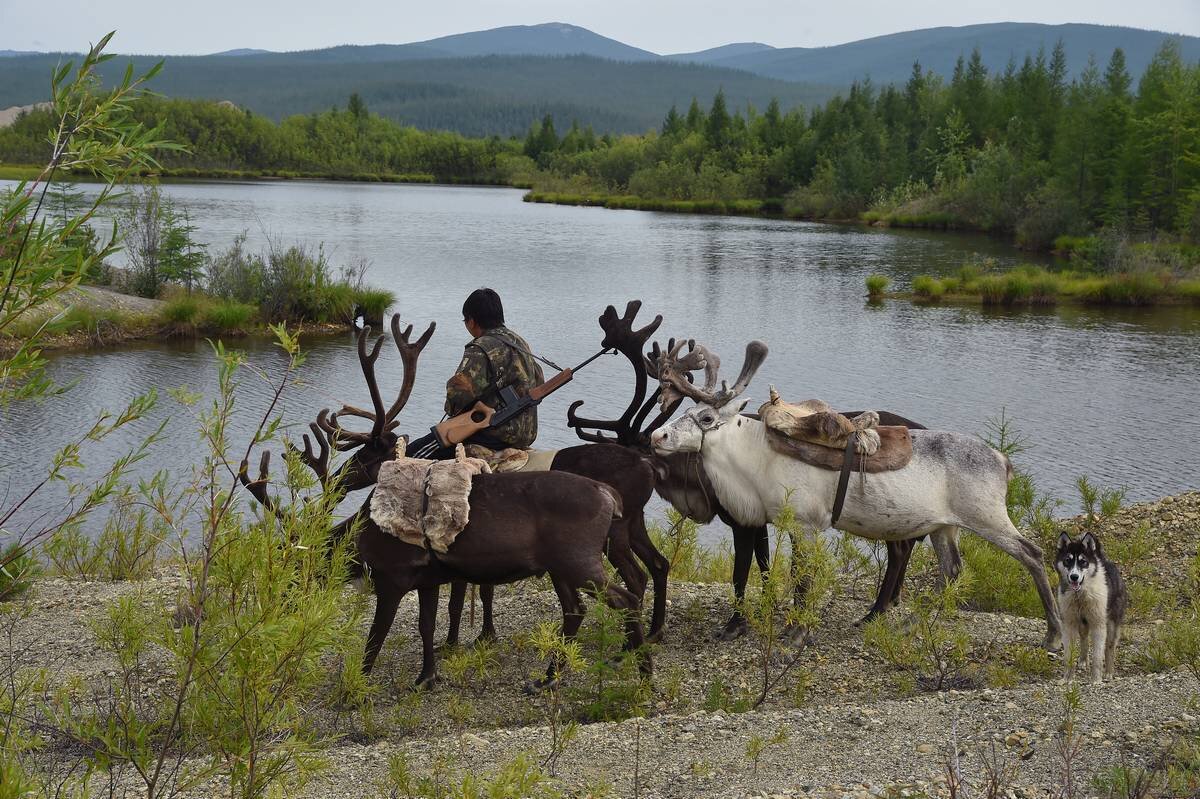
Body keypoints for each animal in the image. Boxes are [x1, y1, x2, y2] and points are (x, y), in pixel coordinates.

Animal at [1056, 532, 1128, 681]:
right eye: (1067, 560)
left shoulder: (1098, 625)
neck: (1080, 596)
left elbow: (1097, 656)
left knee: (1110, 647)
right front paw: (1068, 678)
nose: (1074, 577)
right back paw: (1083, 661)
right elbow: (1068, 655)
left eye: (1083, 562)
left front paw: (1096, 679)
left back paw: (1109, 672)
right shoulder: (1069, 624)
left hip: (1111, 624)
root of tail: (1102, 559)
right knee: (1084, 639)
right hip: (1082, 623)